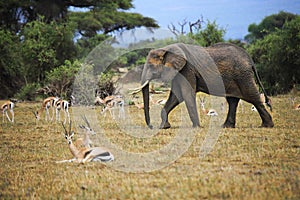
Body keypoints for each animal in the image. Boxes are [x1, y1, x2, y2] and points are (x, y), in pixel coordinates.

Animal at [132, 42, 274, 129]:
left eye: (151, 66)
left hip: (242, 75)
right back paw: (226, 126)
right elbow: (176, 96)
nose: (151, 126)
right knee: (233, 100)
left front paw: (196, 127)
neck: (167, 50)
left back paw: (267, 125)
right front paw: (164, 127)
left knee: (252, 97)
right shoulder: (179, 71)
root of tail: (250, 60)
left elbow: (186, 94)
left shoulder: (187, 69)